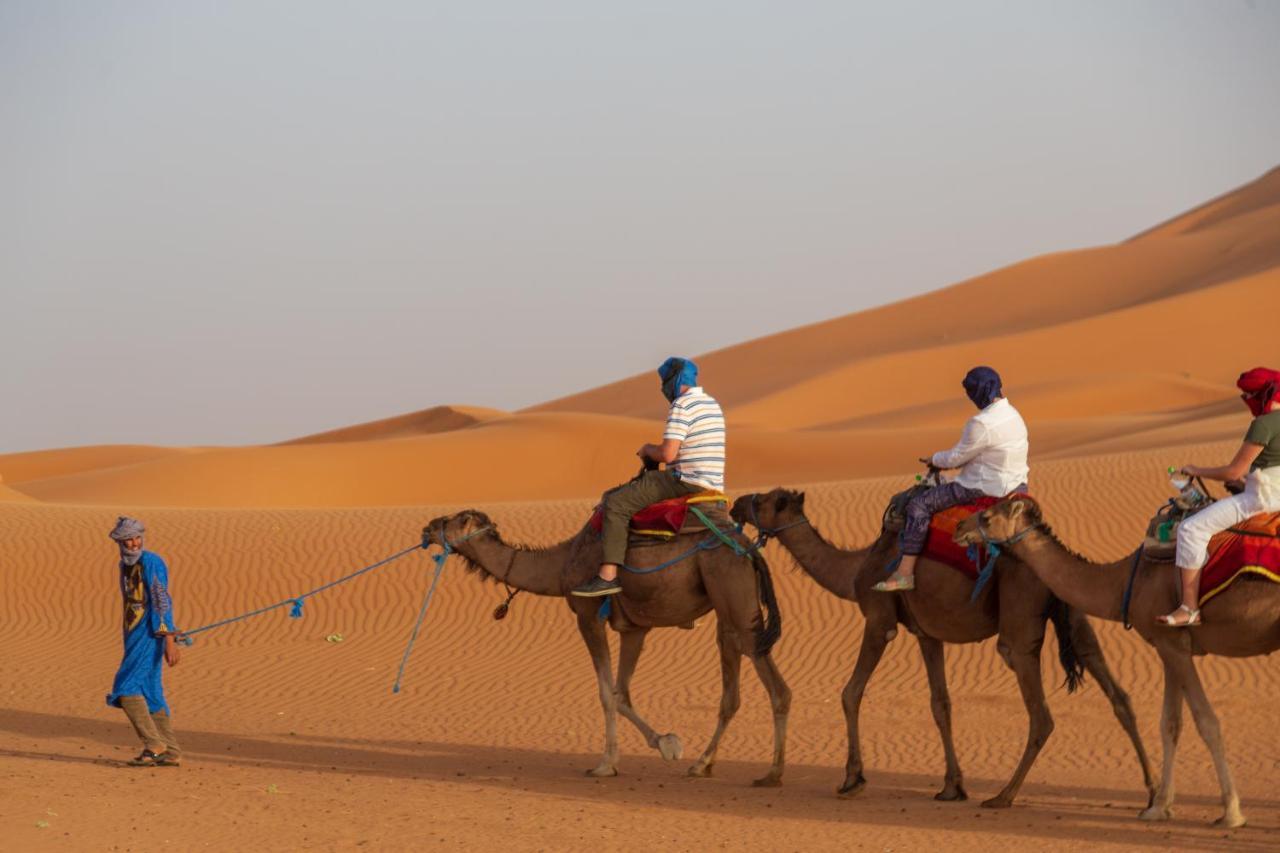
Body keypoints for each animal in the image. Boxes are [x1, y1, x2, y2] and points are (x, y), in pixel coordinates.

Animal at [419, 504, 788, 783]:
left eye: (453, 520)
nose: (428, 527)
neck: (561, 564)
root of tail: (751, 552)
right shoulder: (635, 628)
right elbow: (621, 692)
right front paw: (666, 742)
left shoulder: (588, 616)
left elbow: (605, 693)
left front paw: (606, 764)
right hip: (729, 611)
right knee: (733, 693)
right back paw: (705, 764)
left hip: (734, 598)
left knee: (777, 688)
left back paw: (770, 773)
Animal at [727, 484, 1157, 804]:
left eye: (763, 502)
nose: (736, 504)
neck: (855, 569)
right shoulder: (927, 633)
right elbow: (941, 704)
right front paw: (952, 785)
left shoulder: (879, 620)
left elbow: (851, 692)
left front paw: (853, 778)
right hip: (1074, 612)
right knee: (1116, 692)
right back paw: (1153, 791)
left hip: (1019, 626)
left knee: (1041, 713)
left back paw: (1004, 795)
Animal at [957, 491, 1274, 824]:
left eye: (987, 516)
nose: (959, 527)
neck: (1124, 580)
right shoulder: (1167, 643)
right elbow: (1171, 723)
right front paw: (1159, 806)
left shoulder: (1173, 645)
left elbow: (1207, 721)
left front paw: (1231, 812)